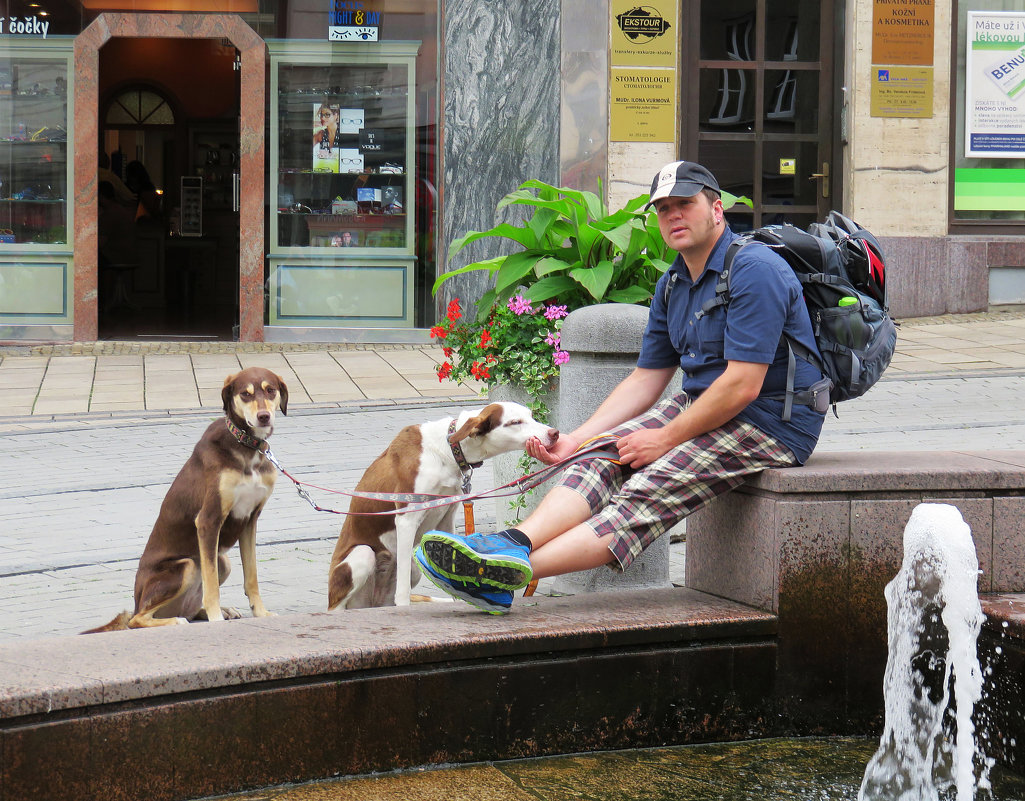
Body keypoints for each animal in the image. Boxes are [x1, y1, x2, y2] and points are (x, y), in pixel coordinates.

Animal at [80, 367, 287, 631]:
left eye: (270, 390)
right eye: (245, 394)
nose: (263, 417)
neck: (246, 448)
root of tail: (137, 602)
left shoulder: (250, 520)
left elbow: (252, 577)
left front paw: (260, 613)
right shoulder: (209, 520)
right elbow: (211, 585)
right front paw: (216, 619)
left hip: (222, 560)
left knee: (191, 608)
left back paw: (220, 611)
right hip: (186, 565)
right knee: (139, 619)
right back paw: (177, 620)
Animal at [328, 404, 557, 611]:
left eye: (531, 416)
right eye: (515, 422)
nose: (554, 433)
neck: (446, 451)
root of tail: (370, 605)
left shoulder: (447, 516)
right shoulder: (406, 519)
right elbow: (402, 590)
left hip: (413, 567)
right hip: (363, 555)